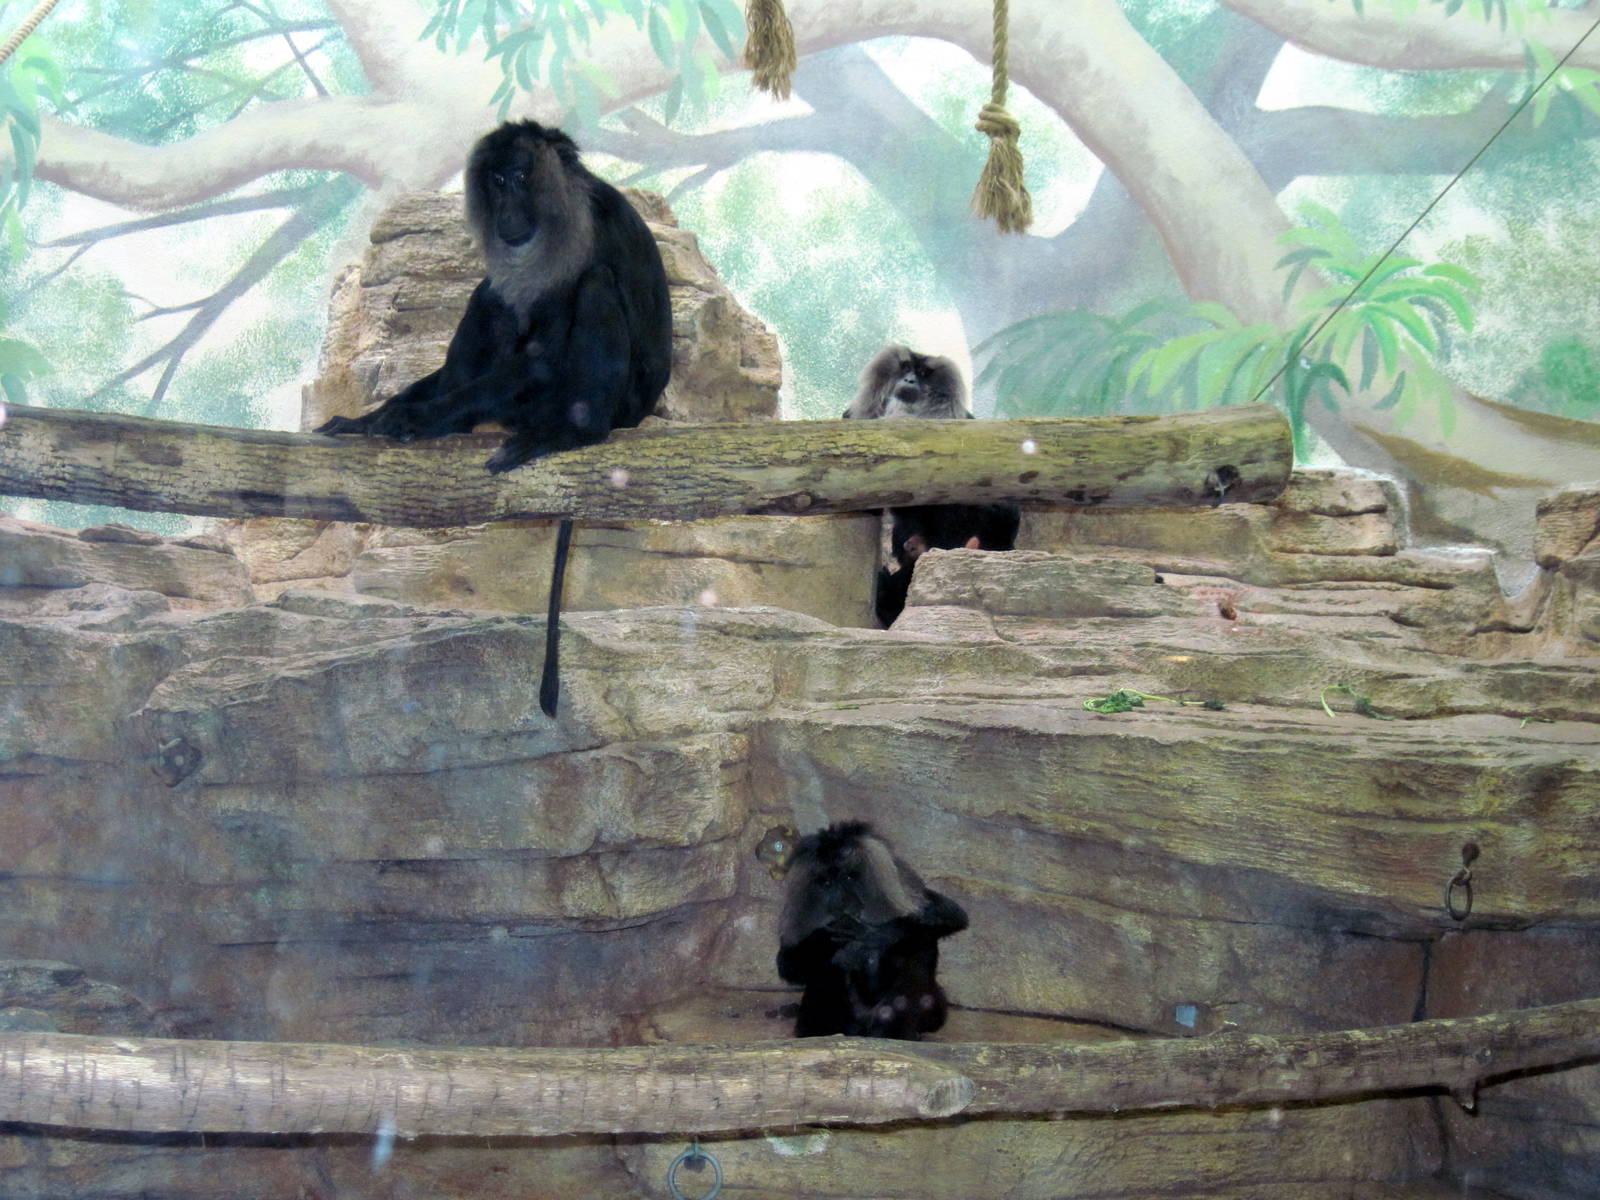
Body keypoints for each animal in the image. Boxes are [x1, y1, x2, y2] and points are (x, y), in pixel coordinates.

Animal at [317, 121, 672, 718]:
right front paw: (377, 416)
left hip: (614, 399)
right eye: (498, 181)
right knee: (491, 296)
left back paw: (572, 431)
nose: (507, 206)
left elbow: (545, 355)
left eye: (522, 176)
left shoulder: (586, 233)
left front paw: (416, 415)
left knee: (594, 285)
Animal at [776, 821, 968, 1040]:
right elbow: (787, 962)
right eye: (826, 883)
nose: (838, 901)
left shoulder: (909, 891)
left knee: (920, 943)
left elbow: (952, 915)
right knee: (826, 965)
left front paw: (877, 934)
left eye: (848, 877)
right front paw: (825, 936)